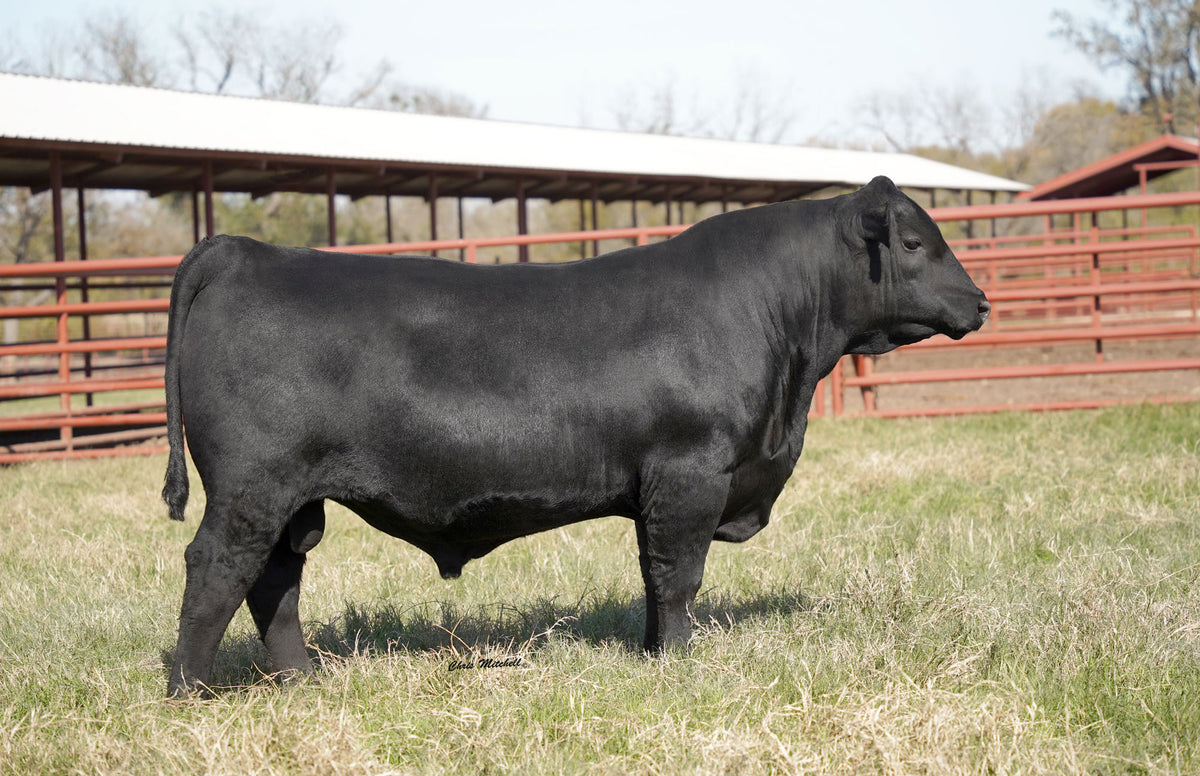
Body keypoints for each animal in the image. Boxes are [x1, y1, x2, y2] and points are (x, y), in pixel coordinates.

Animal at [162, 175, 990, 697]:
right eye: (915, 244)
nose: (980, 302)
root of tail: (242, 250)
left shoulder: (657, 486)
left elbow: (653, 576)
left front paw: (654, 656)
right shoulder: (692, 472)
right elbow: (680, 577)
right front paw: (681, 667)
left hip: (292, 498)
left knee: (275, 580)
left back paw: (303, 682)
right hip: (252, 485)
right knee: (216, 570)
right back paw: (190, 694)